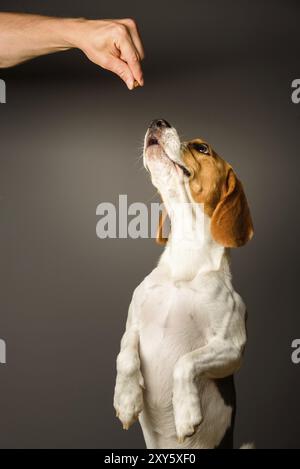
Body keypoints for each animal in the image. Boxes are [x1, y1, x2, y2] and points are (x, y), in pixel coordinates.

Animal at [112, 119, 253, 448]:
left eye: (202, 148)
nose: (158, 121)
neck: (185, 261)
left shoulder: (231, 348)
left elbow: (186, 362)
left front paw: (186, 412)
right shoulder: (133, 326)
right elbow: (124, 356)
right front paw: (126, 399)